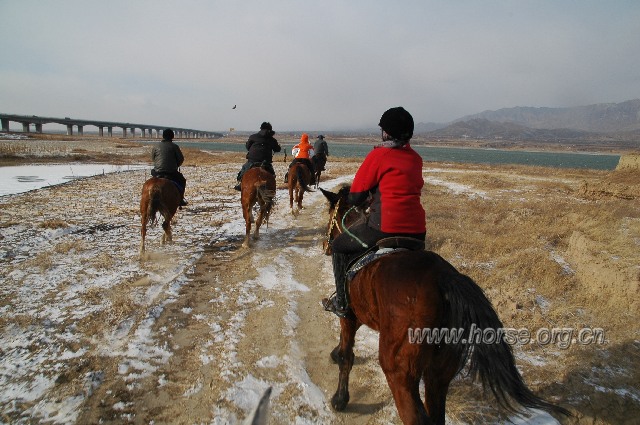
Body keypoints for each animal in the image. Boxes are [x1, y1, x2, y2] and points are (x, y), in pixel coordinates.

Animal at [320, 186, 568, 424]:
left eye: (330, 215)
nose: (327, 246)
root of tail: (444, 277)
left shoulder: (348, 317)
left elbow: (347, 356)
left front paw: (340, 398)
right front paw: (335, 353)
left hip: (399, 372)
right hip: (439, 371)